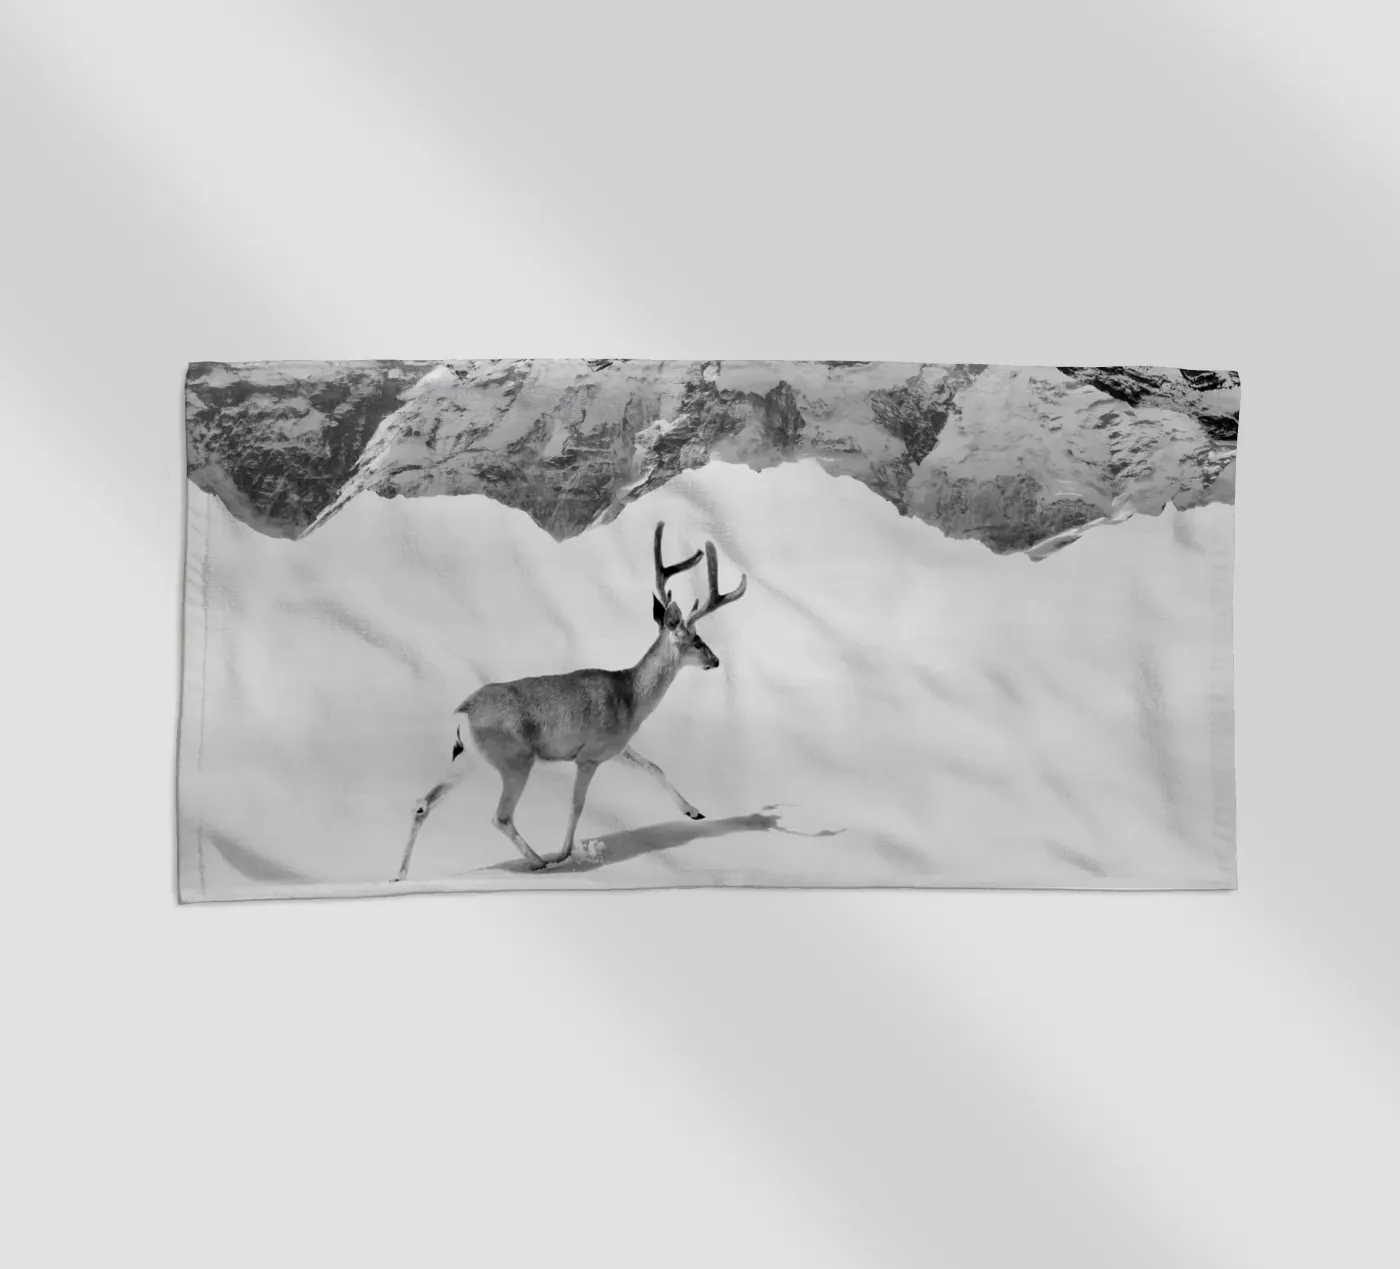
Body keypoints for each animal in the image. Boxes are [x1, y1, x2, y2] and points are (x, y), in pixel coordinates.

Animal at [393, 522, 748, 881]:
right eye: (698, 640)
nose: (716, 660)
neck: (630, 696)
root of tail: (464, 711)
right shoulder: (589, 755)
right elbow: (577, 806)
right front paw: (565, 854)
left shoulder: (616, 746)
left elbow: (653, 765)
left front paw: (694, 811)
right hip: (514, 760)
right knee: (500, 816)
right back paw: (540, 861)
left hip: (469, 758)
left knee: (422, 804)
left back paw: (399, 875)